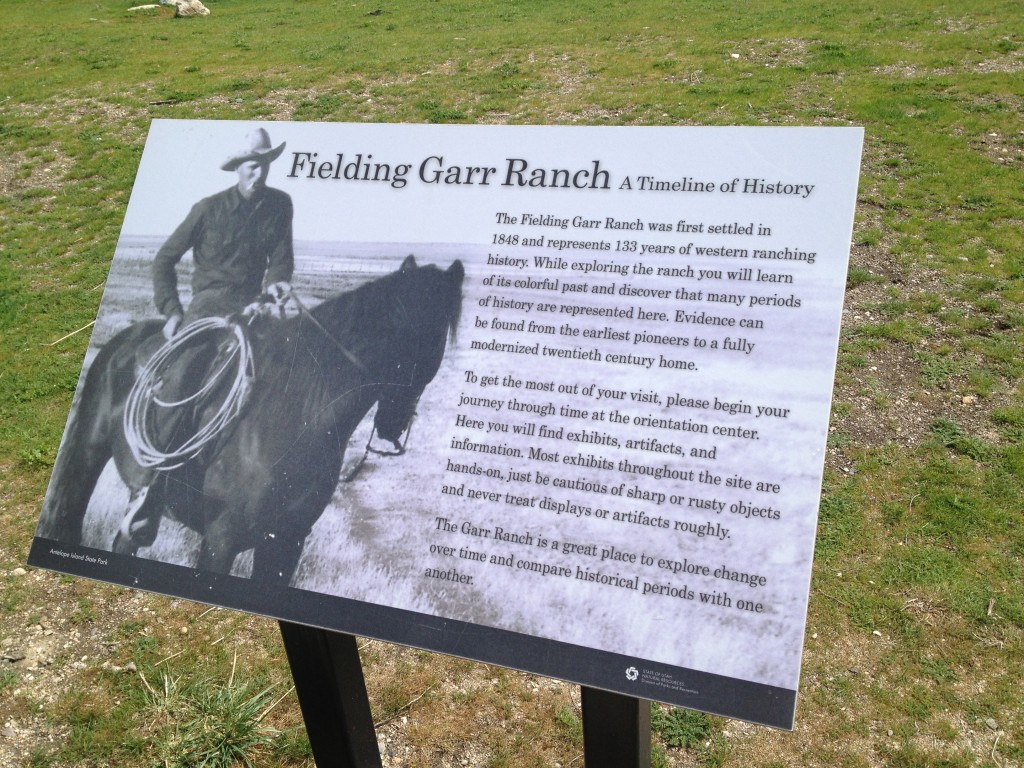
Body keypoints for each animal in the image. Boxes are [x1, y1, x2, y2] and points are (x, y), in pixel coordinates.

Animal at [35, 256, 460, 585]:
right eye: (431, 335)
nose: (395, 427)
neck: (298, 412)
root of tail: (124, 340)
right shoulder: (221, 539)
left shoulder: (286, 543)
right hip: (86, 457)